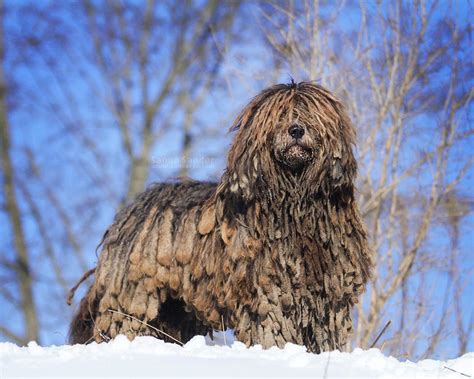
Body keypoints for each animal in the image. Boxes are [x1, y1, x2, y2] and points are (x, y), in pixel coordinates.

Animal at [69, 81, 374, 354]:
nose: (296, 129)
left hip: (174, 309)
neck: (296, 200)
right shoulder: (268, 290)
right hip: (134, 294)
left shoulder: (328, 293)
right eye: (280, 115)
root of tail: (129, 212)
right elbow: (273, 328)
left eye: (310, 113)